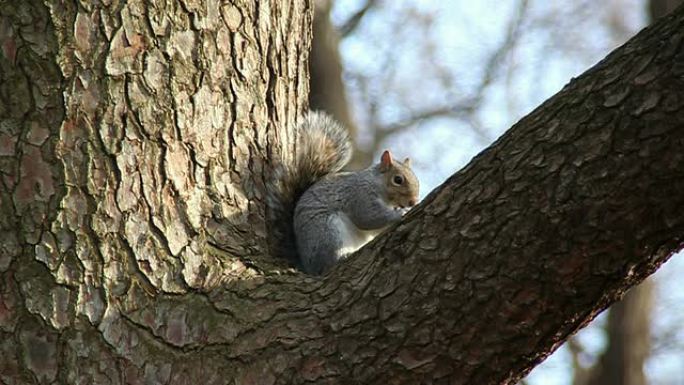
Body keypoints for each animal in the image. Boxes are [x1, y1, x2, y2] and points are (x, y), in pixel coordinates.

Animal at [266, 109, 416, 274]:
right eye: (398, 180)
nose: (414, 201)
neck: (376, 185)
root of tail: (307, 265)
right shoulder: (359, 195)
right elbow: (368, 218)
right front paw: (400, 213)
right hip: (328, 232)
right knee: (327, 262)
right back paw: (341, 257)